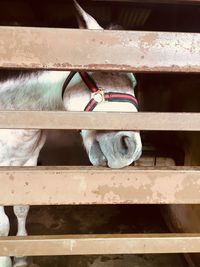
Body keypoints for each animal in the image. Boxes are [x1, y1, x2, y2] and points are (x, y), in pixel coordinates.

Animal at [0, 1, 142, 266]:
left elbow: (22, 207)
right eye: (98, 73)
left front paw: (21, 257)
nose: (129, 147)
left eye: (134, 83)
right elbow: (2, 224)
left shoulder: (26, 163)